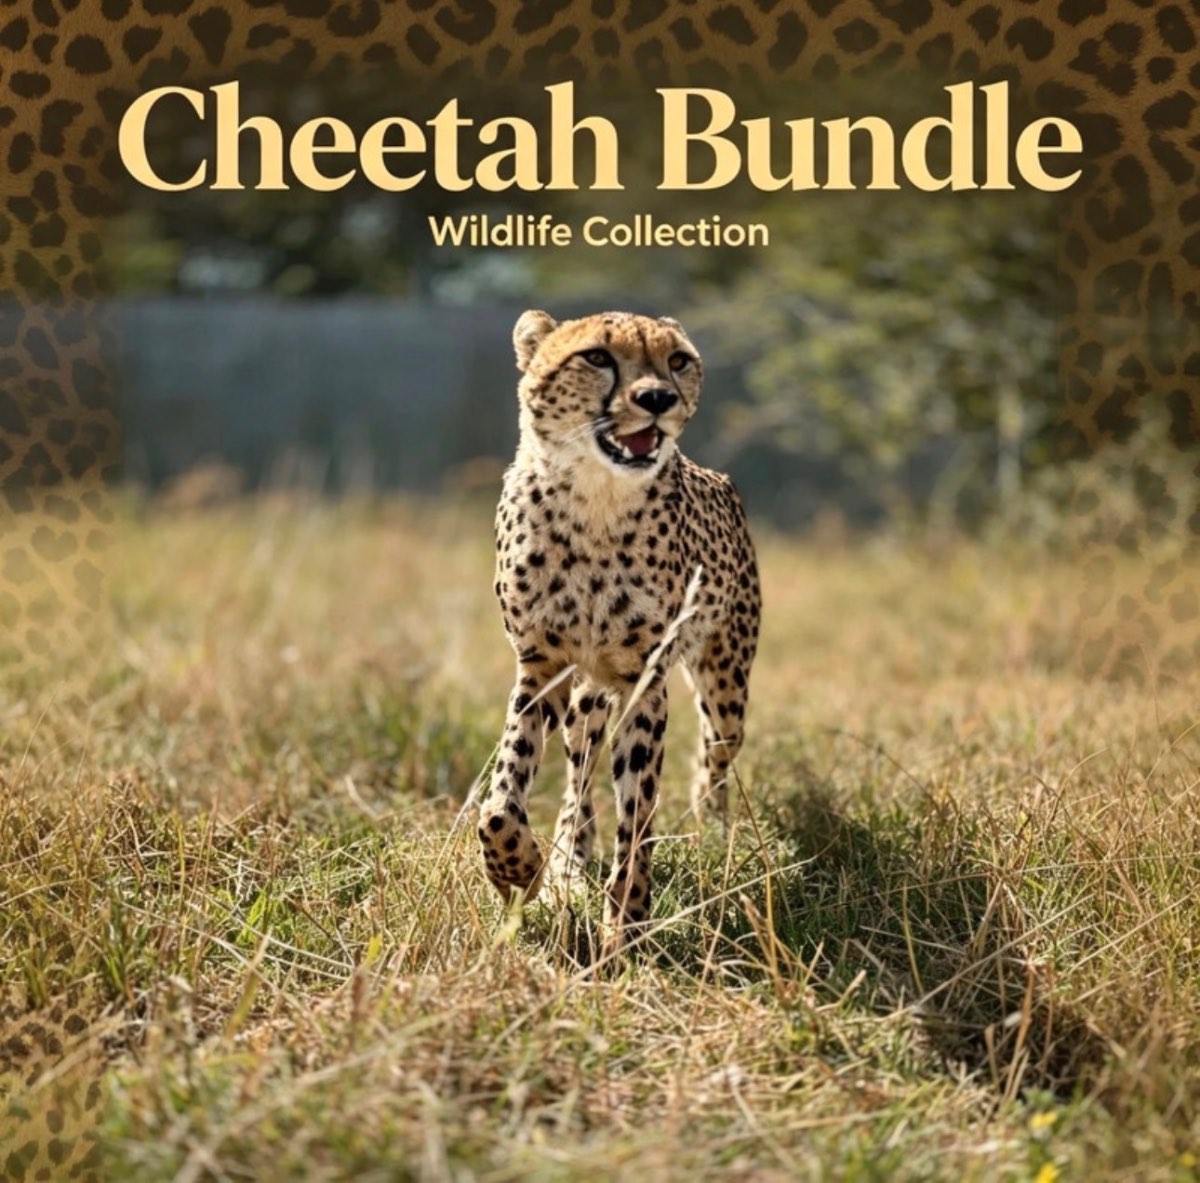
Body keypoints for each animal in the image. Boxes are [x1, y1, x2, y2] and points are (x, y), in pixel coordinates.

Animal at [477, 309, 760, 954]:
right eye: (597, 357)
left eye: (677, 360)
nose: (658, 398)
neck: (596, 500)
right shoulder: (541, 666)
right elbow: (501, 800)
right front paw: (520, 870)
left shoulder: (643, 682)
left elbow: (638, 820)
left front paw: (625, 929)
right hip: (585, 699)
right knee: (578, 778)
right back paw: (566, 862)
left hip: (726, 685)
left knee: (713, 756)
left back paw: (712, 831)